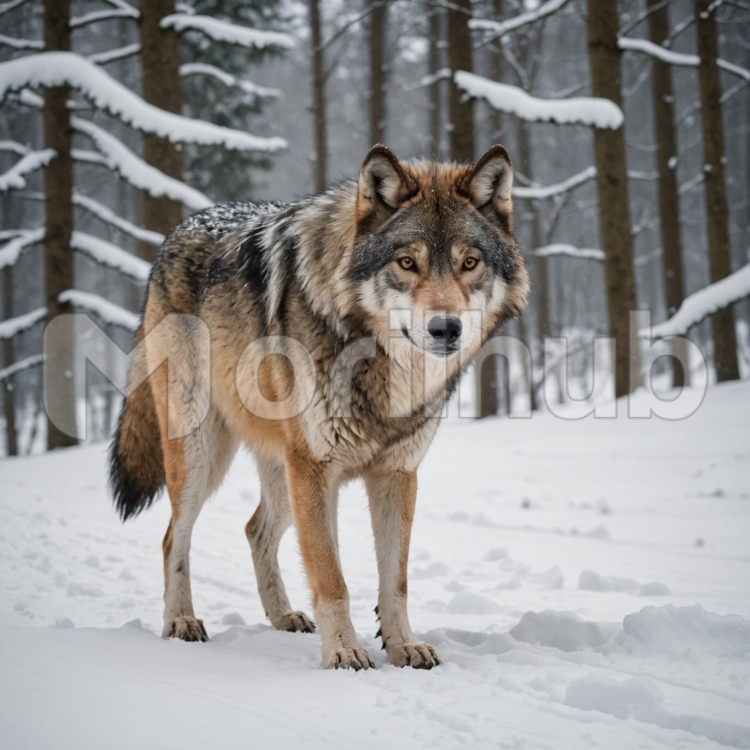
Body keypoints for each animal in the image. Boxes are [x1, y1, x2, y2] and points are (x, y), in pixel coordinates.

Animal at [109, 144, 529, 670]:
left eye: (470, 262)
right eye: (407, 262)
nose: (446, 328)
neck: (376, 361)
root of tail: (175, 235)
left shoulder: (396, 473)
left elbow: (396, 580)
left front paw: (404, 645)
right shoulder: (314, 470)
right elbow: (332, 578)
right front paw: (345, 652)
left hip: (281, 472)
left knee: (254, 530)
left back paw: (282, 616)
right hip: (202, 457)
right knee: (173, 537)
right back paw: (181, 621)